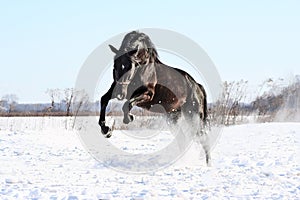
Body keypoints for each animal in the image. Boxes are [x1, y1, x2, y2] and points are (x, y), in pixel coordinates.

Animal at [99, 31, 211, 166]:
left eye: (129, 67)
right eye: (115, 66)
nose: (120, 94)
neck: (142, 64)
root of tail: (197, 86)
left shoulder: (147, 94)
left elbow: (127, 105)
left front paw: (129, 118)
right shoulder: (115, 90)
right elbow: (104, 100)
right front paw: (106, 130)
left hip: (193, 116)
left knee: (203, 138)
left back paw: (208, 165)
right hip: (173, 117)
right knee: (183, 139)